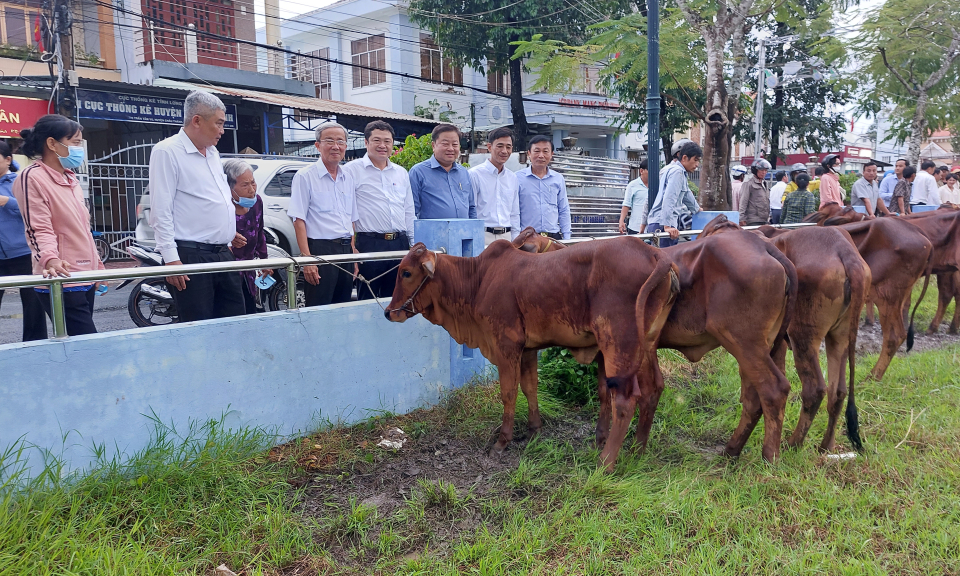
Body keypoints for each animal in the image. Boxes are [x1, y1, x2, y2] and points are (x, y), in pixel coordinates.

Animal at [380, 238, 676, 468]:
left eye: (406, 273)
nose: (388, 312)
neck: (477, 280)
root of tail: (653, 253)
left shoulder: (506, 345)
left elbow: (508, 393)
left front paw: (502, 442)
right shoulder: (527, 349)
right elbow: (530, 386)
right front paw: (534, 429)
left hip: (619, 344)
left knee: (625, 401)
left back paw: (606, 462)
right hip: (645, 346)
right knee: (653, 389)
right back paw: (637, 451)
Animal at [748, 224, 872, 450]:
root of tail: (844, 250)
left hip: (803, 336)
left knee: (815, 390)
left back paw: (793, 443)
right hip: (840, 337)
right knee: (838, 391)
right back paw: (826, 446)